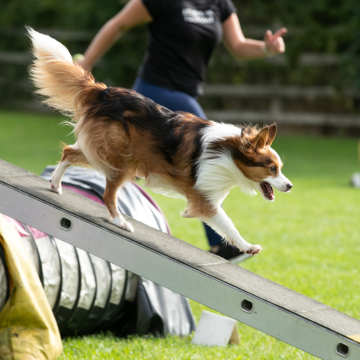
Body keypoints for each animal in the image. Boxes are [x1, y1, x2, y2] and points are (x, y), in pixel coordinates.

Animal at [27, 28, 292, 256]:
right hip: (121, 161)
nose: (290, 186)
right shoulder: (204, 200)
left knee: (69, 153)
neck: (230, 152)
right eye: (272, 168)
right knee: (107, 194)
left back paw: (55, 185)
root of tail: (102, 91)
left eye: (280, 168)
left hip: (107, 153)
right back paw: (120, 222)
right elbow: (228, 225)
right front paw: (248, 247)